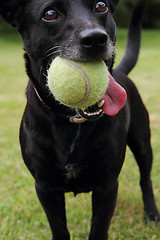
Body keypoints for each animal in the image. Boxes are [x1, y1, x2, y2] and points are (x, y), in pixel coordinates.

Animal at [0, 0, 159, 240]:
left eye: (101, 6)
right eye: (50, 13)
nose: (96, 38)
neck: (73, 120)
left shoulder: (107, 184)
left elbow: (98, 229)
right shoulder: (45, 187)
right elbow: (59, 228)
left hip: (142, 141)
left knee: (145, 179)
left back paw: (151, 214)